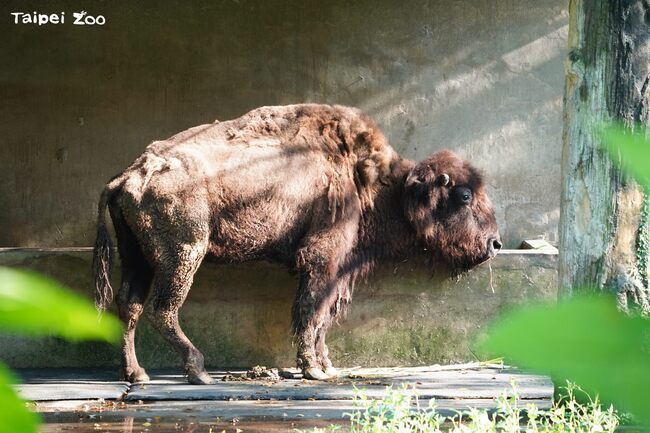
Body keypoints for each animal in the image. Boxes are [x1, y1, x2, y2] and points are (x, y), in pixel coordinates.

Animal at [91, 103, 498, 384]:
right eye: (464, 195)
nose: (495, 243)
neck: (375, 182)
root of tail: (129, 174)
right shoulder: (322, 259)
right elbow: (311, 310)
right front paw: (312, 369)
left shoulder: (339, 270)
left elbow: (323, 316)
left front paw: (326, 365)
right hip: (184, 254)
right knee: (162, 309)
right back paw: (198, 370)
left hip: (138, 257)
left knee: (129, 305)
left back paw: (136, 374)